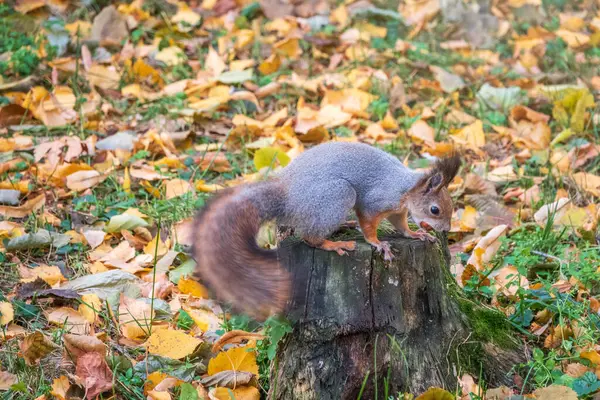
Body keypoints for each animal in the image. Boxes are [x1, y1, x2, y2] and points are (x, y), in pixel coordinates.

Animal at [192, 142, 460, 320]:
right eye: (435, 209)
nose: (446, 229)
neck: (406, 189)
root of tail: (288, 198)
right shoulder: (376, 201)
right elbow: (368, 224)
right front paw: (378, 243)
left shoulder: (397, 211)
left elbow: (402, 226)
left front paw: (416, 234)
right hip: (336, 196)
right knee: (309, 237)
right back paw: (333, 244)